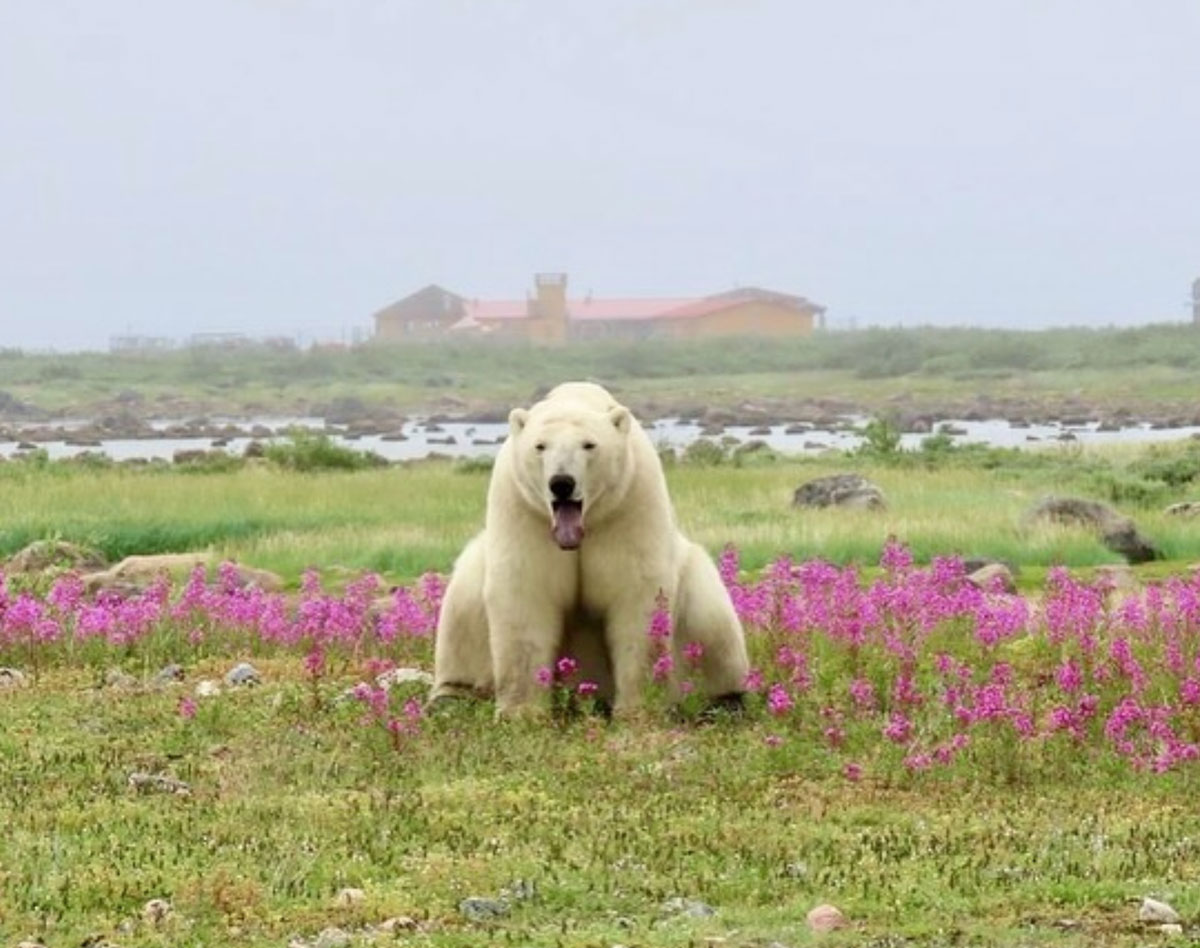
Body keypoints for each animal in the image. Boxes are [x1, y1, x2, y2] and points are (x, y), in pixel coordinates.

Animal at [430, 381, 750, 719]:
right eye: (540, 446)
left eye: (589, 445)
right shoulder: (522, 509)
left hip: (696, 583)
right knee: (461, 610)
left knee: (713, 621)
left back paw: (726, 701)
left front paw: (636, 710)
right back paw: (450, 698)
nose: (561, 483)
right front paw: (521, 712)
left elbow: (638, 598)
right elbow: (524, 595)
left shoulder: (630, 503)